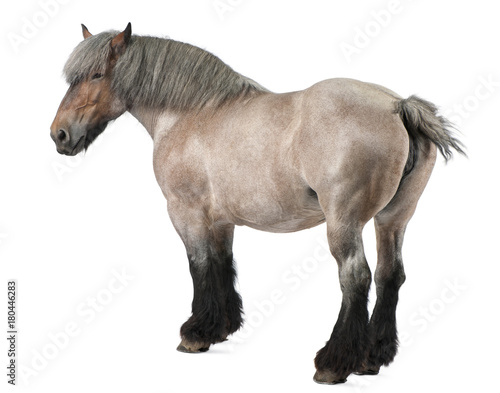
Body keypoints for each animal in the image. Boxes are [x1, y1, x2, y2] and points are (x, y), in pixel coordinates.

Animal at [48, 23, 462, 382]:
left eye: (96, 75)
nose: (60, 135)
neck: (193, 113)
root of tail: (397, 105)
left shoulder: (185, 212)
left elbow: (198, 265)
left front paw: (195, 333)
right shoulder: (220, 219)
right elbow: (221, 264)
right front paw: (220, 327)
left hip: (344, 222)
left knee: (356, 277)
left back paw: (334, 362)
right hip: (393, 219)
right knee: (390, 275)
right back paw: (372, 357)